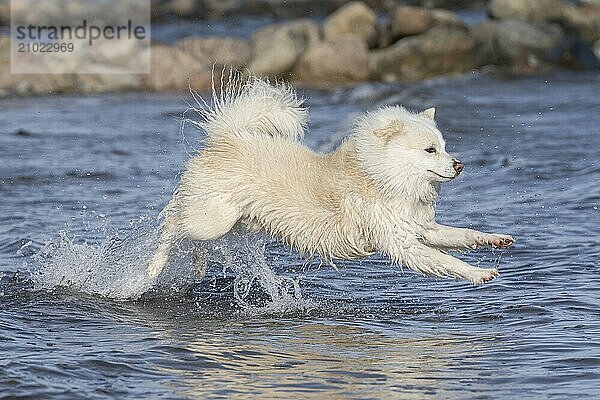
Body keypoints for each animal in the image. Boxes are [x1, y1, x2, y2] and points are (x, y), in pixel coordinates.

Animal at [148, 77, 512, 284]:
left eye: (445, 147)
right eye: (430, 150)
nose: (460, 165)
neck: (381, 176)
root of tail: (228, 138)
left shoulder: (422, 228)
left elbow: (463, 235)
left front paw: (494, 240)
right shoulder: (402, 244)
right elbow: (447, 260)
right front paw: (479, 273)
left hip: (235, 221)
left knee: (190, 235)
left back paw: (198, 266)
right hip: (214, 219)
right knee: (172, 223)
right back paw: (151, 268)